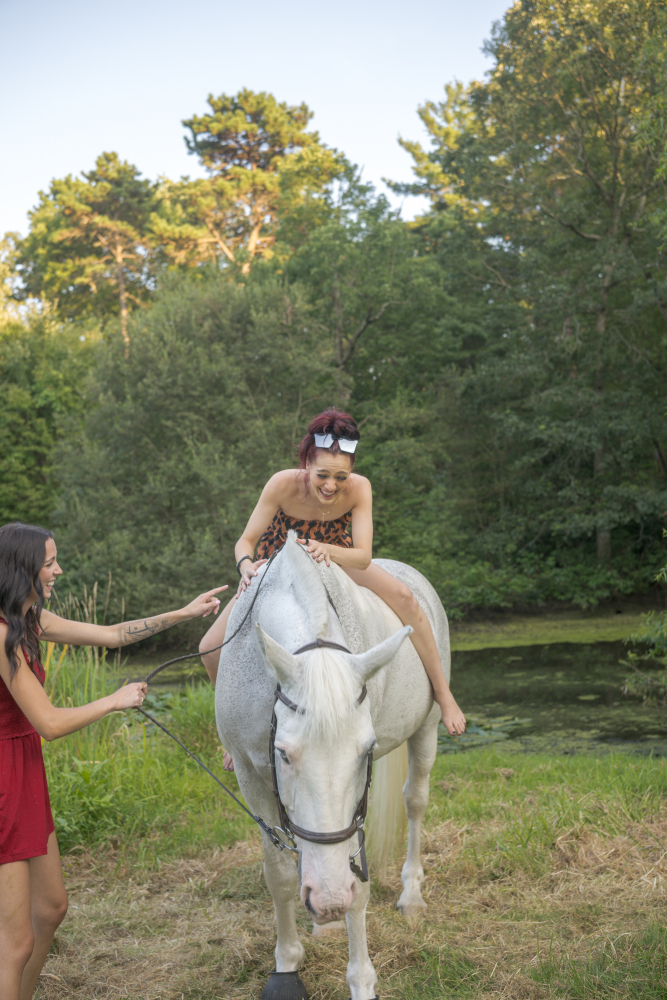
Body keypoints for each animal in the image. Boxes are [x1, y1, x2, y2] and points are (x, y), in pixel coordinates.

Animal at [214, 531, 450, 1000]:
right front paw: (287, 961)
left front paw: (361, 979)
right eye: (284, 753)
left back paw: (411, 894)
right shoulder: (252, 776)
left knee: (415, 802)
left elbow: (357, 883)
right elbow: (280, 874)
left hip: (427, 728)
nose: (329, 902)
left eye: (366, 750)